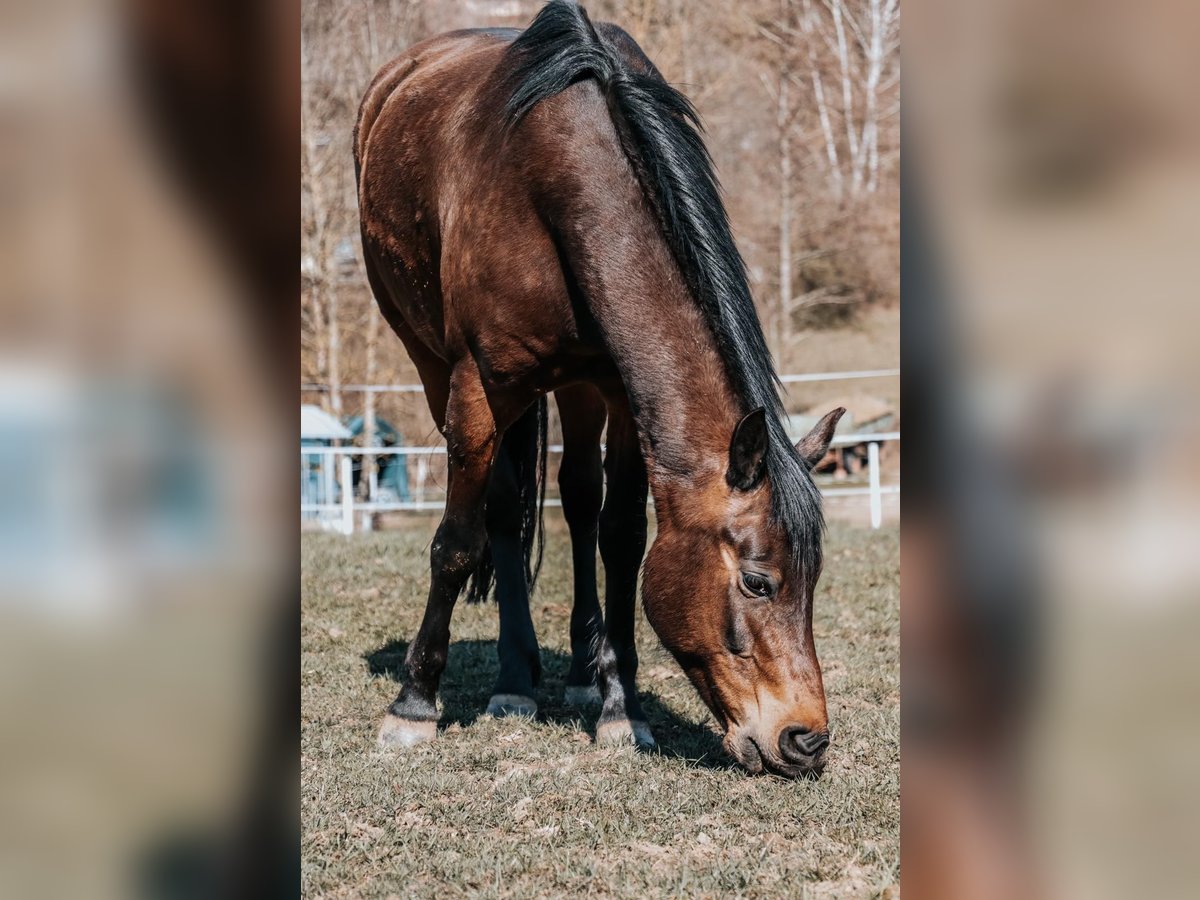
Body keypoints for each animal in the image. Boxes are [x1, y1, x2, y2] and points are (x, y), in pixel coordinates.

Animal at [352, 0, 844, 777]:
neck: (564, 173)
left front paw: (623, 707)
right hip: (431, 360)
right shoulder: (473, 391)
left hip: (577, 386)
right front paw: (413, 705)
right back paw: (513, 682)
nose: (806, 741)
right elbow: (457, 541)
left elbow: (621, 536)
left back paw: (585, 676)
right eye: (757, 581)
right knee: (502, 510)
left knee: (580, 499)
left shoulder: (619, 390)